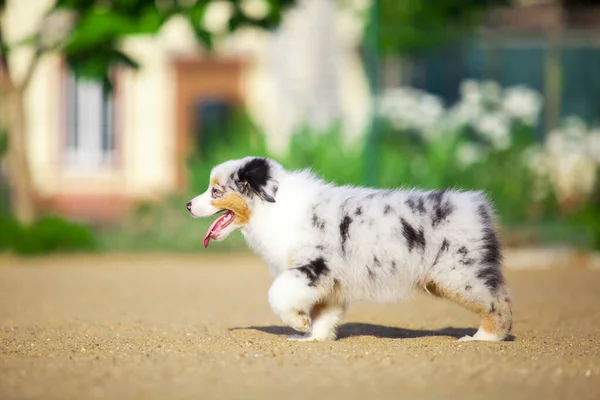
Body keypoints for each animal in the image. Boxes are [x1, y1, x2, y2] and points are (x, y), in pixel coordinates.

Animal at [186, 156, 510, 340]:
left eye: (215, 191)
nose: (188, 205)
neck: (273, 208)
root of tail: (478, 206)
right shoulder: (329, 280)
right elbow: (323, 313)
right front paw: (312, 338)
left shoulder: (312, 267)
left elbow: (276, 294)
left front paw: (298, 323)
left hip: (458, 274)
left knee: (498, 301)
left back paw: (484, 338)